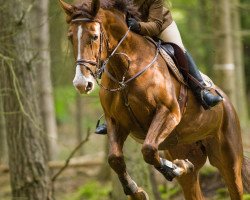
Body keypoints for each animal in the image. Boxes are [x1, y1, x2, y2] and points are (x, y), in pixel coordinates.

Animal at [59, 0, 249, 198]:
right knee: (191, 180)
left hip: (229, 160)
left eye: (94, 36)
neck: (125, 71)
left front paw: (175, 168)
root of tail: (227, 102)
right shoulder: (116, 121)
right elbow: (115, 159)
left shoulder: (168, 112)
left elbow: (148, 149)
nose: (82, 83)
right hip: (185, 151)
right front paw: (135, 190)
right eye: (70, 37)